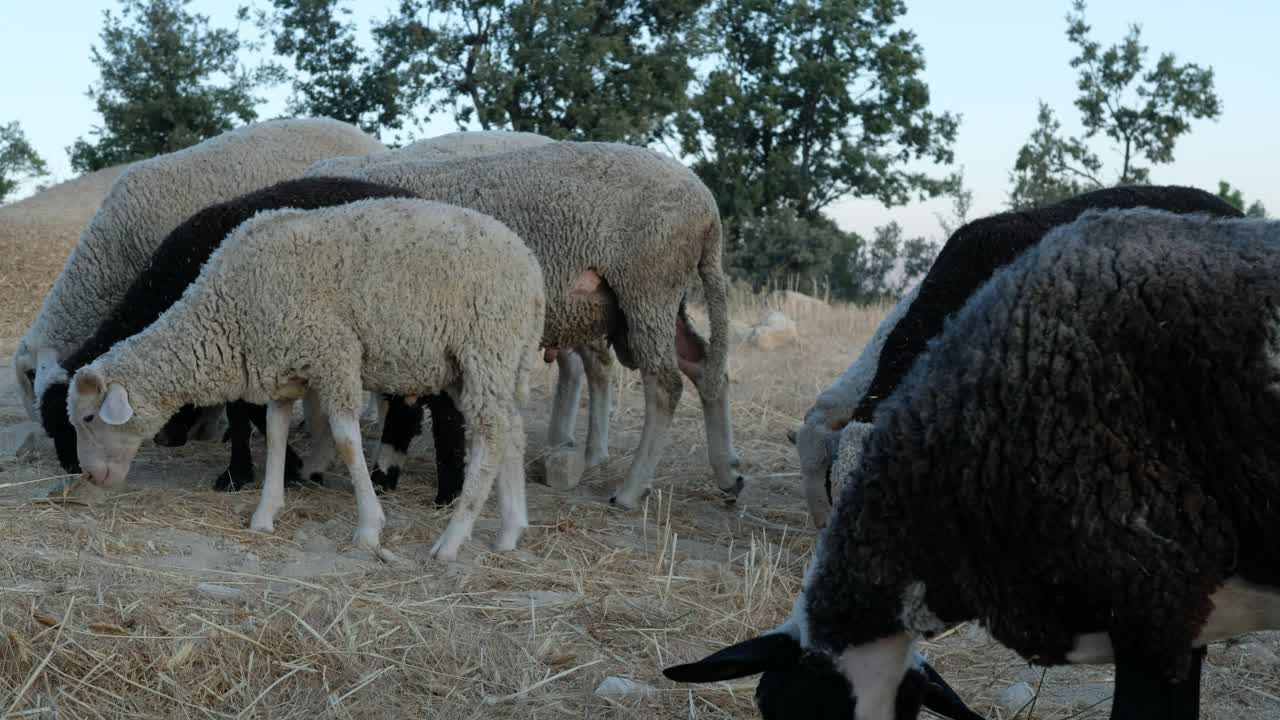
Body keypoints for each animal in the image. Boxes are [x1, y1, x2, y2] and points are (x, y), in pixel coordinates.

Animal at [68, 197, 545, 560]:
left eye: (89, 419)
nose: (89, 475)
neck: (229, 309)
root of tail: (529, 265)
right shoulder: (282, 370)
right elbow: (277, 434)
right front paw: (265, 514)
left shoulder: (335, 353)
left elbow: (347, 440)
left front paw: (369, 527)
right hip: (486, 363)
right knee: (513, 430)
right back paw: (508, 532)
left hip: (486, 346)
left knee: (491, 435)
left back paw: (451, 541)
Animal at [346, 140, 742, 508]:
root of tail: (707, 206)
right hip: (654, 304)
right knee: (705, 368)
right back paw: (729, 474)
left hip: (648, 288)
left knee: (665, 385)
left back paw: (630, 491)